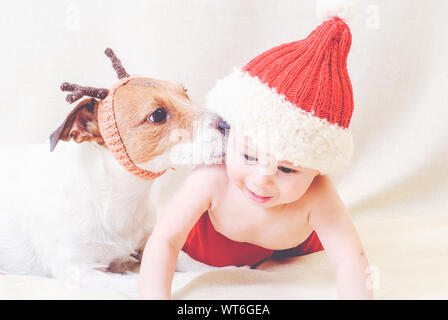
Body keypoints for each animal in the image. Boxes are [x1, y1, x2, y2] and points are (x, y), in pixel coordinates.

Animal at [0, 48, 224, 292]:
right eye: (157, 115)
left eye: (185, 92)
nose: (228, 124)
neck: (114, 194)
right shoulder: (80, 270)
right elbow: (141, 281)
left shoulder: (150, 241)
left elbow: (196, 264)